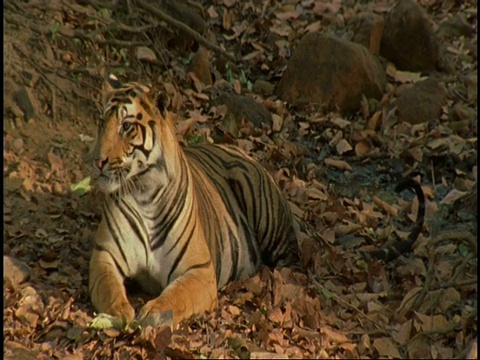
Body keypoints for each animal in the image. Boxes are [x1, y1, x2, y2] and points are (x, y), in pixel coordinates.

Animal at [88, 73, 302, 326]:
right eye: (102, 123)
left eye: (127, 126)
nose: (97, 161)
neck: (144, 192)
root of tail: (237, 148)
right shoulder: (104, 254)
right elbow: (108, 288)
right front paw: (120, 312)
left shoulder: (199, 269)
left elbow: (176, 295)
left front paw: (153, 314)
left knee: (291, 262)